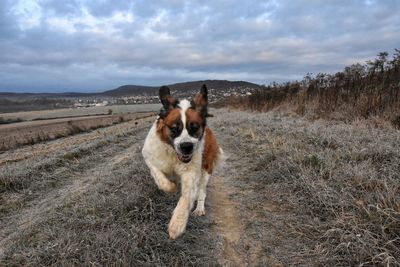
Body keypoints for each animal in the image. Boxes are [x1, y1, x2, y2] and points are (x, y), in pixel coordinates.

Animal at [141, 85, 222, 240]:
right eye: (174, 129)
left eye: (194, 128)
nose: (186, 146)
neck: (173, 153)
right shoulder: (149, 157)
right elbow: (161, 178)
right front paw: (170, 187)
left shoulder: (191, 172)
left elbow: (185, 198)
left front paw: (177, 224)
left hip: (206, 169)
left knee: (201, 191)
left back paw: (199, 208)